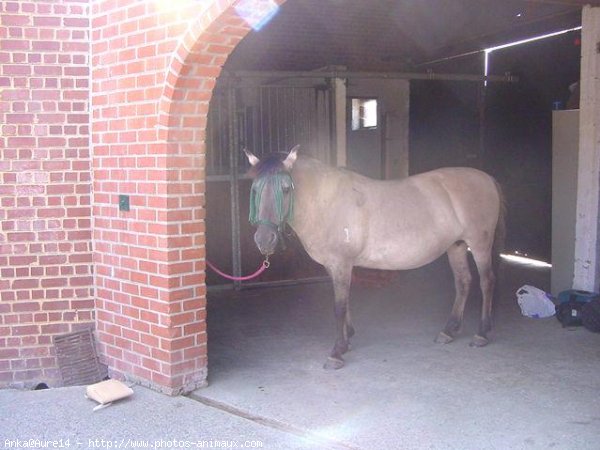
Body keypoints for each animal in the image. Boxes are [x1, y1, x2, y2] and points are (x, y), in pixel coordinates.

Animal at [244, 146, 506, 370]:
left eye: (286, 189)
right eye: (255, 190)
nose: (264, 239)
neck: (325, 202)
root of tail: (487, 178)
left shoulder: (341, 264)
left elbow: (339, 306)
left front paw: (336, 353)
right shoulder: (335, 266)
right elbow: (345, 301)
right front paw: (347, 341)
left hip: (479, 245)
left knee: (487, 282)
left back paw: (482, 333)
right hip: (456, 246)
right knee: (463, 282)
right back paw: (449, 331)